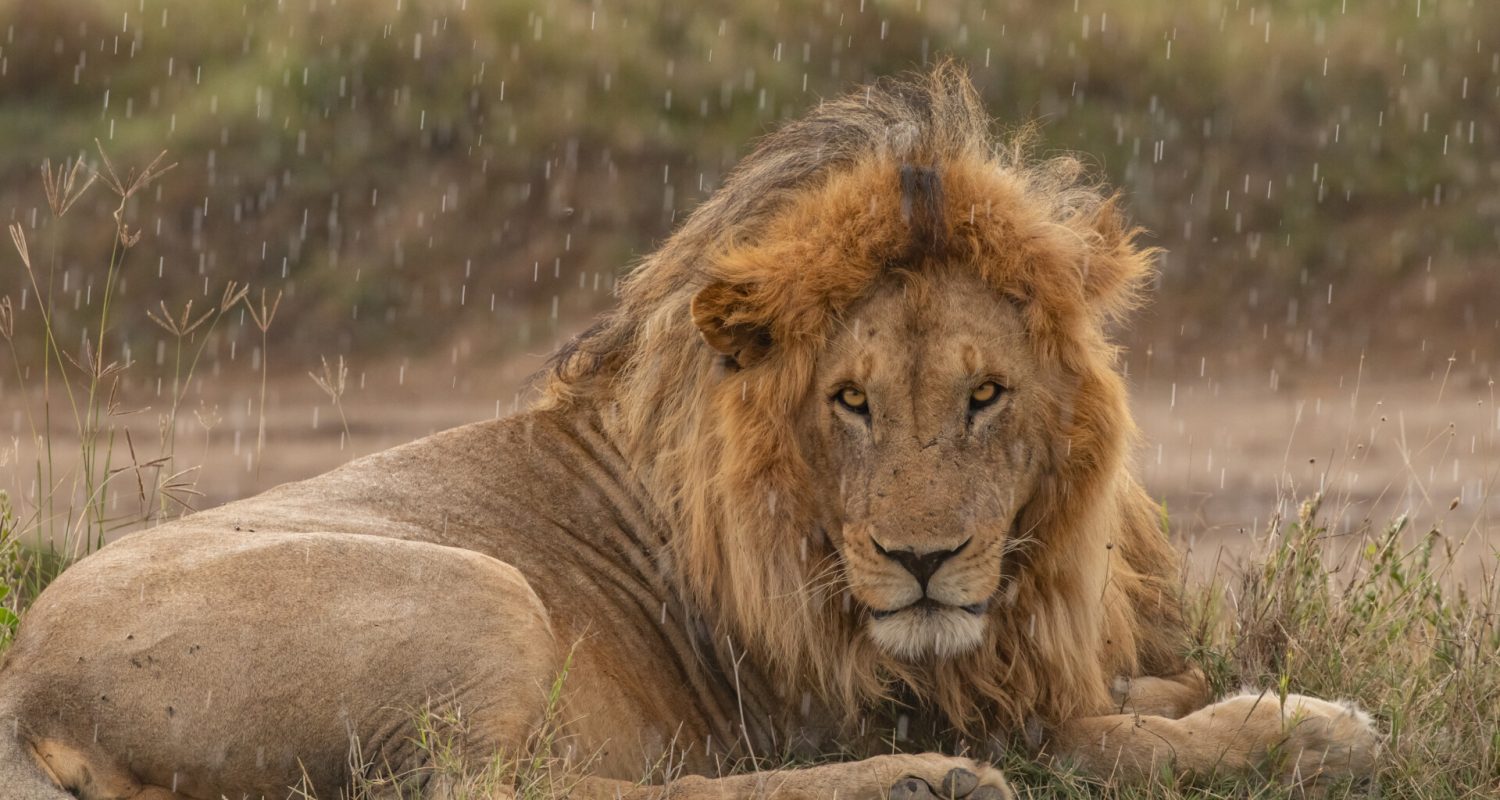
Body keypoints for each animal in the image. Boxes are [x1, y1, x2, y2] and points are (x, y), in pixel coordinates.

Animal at [0, 63, 1376, 800]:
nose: (924, 562)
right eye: (850, 400)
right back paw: (924, 784)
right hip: (479, 595)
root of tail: (21, 693)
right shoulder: (882, 695)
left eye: (985, 395)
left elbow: (1131, 689)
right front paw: (1307, 724)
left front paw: (1193, 680)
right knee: (526, 790)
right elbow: (1126, 736)